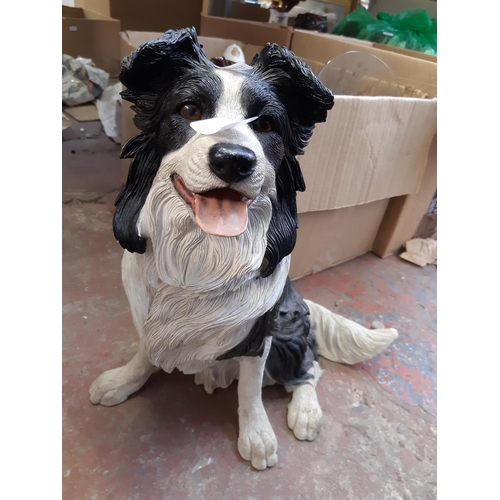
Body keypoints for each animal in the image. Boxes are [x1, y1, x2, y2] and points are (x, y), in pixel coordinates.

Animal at [89, 29, 394, 470]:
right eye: (190, 109)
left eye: (265, 123)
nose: (234, 159)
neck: (201, 259)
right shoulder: (148, 315)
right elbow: (145, 350)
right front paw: (123, 381)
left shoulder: (261, 331)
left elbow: (251, 387)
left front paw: (256, 435)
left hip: (287, 329)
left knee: (310, 368)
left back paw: (305, 411)